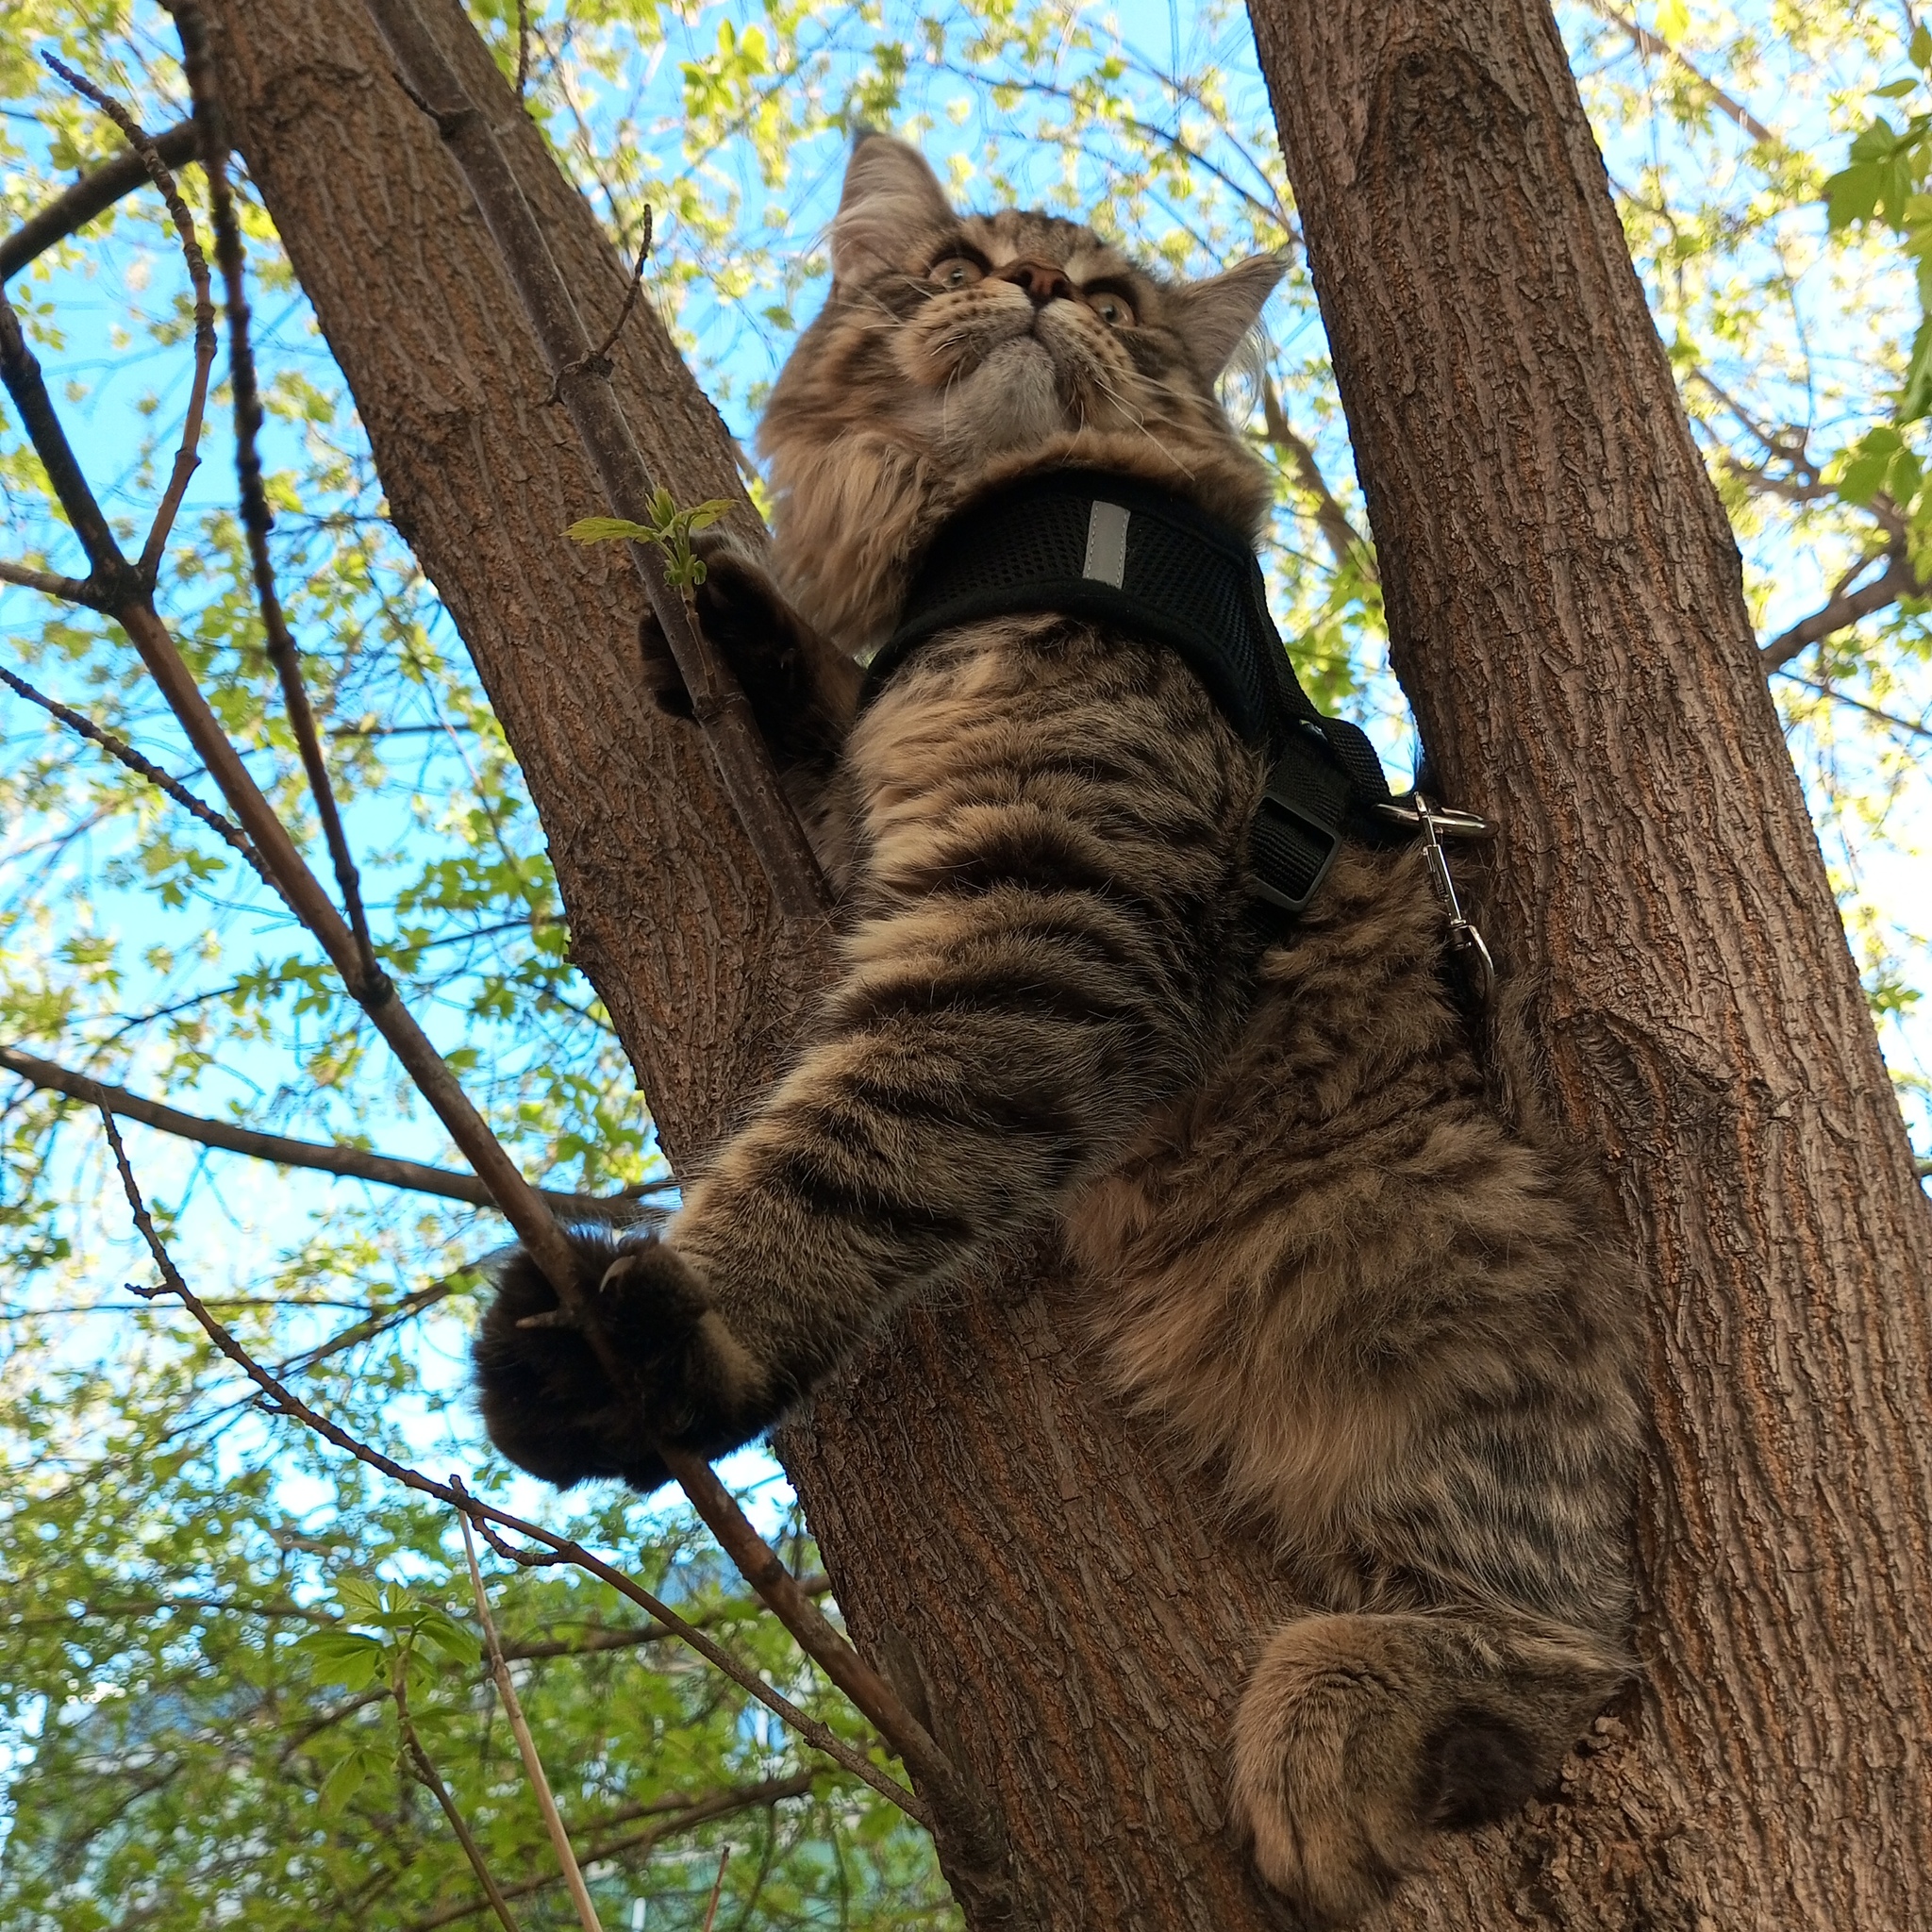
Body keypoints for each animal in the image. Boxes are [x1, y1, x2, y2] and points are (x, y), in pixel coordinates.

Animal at [475, 132, 1638, 1916]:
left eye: (1106, 299)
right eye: (961, 260)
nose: (1028, 289)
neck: (996, 530)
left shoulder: (1048, 913)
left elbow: (859, 1144)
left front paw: (672, 1329)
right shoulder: (904, 821)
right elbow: (826, 720)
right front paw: (746, 635)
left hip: (1425, 1308)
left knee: (1564, 1645)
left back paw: (1351, 1718)